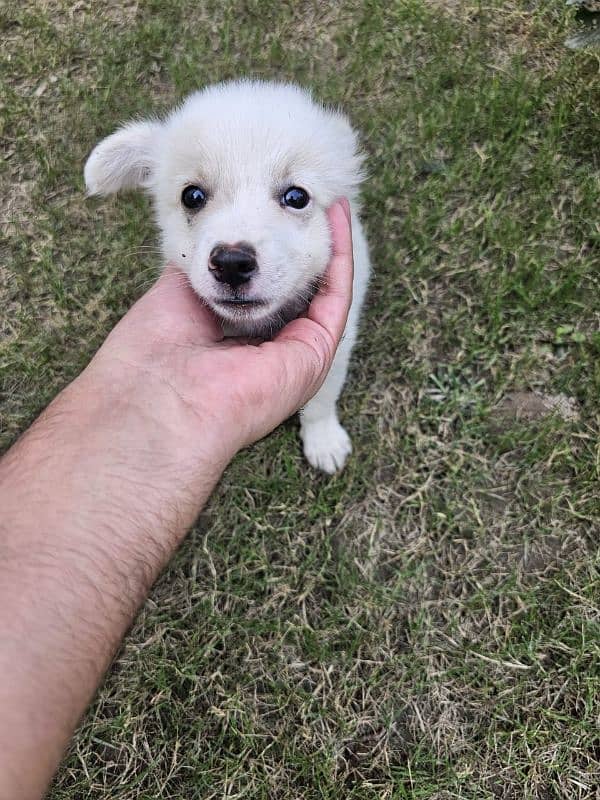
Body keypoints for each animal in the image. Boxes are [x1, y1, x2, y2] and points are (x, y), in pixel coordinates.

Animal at [84, 78, 370, 472]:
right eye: (192, 196)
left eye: (297, 196)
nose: (231, 263)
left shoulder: (342, 339)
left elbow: (323, 396)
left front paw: (323, 439)